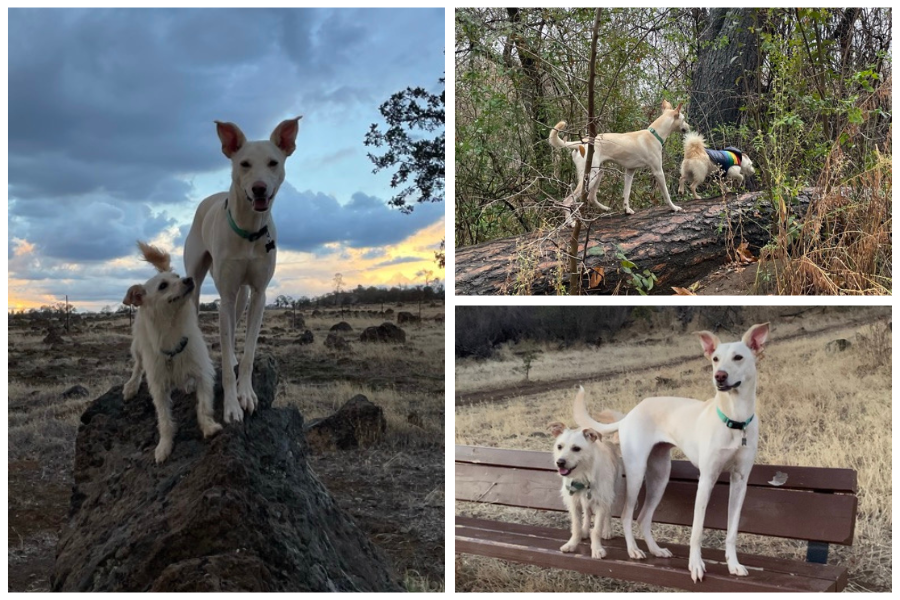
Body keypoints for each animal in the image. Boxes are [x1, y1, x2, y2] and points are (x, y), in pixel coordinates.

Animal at [122, 241, 221, 462]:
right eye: (162, 286)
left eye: (177, 276)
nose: (189, 279)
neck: (173, 327)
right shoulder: (158, 386)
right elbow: (164, 419)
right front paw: (164, 446)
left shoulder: (204, 372)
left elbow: (204, 405)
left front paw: (209, 427)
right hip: (138, 346)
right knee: (138, 365)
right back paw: (131, 386)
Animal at [185, 117, 300, 424]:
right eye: (244, 164)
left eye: (273, 162)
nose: (259, 188)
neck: (249, 230)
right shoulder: (223, 295)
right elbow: (223, 357)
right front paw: (231, 406)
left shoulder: (259, 294)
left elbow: (248, 351)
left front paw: (245, 393)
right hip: (196, 281)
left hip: (242, 295)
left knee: (235, 321)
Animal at [548, 100, 688, 216]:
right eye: (683, 119)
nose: (689, 127)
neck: (654, 135)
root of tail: (581, 143)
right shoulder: (658, 171)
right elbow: (666, 194)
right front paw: (674, 207)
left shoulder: (630, 171)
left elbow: (626, 193)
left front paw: (627, 209)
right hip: (591, 175)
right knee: (567, 201)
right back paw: (571, 223)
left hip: (598, 173)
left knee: (591, 197)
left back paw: (605, 209)